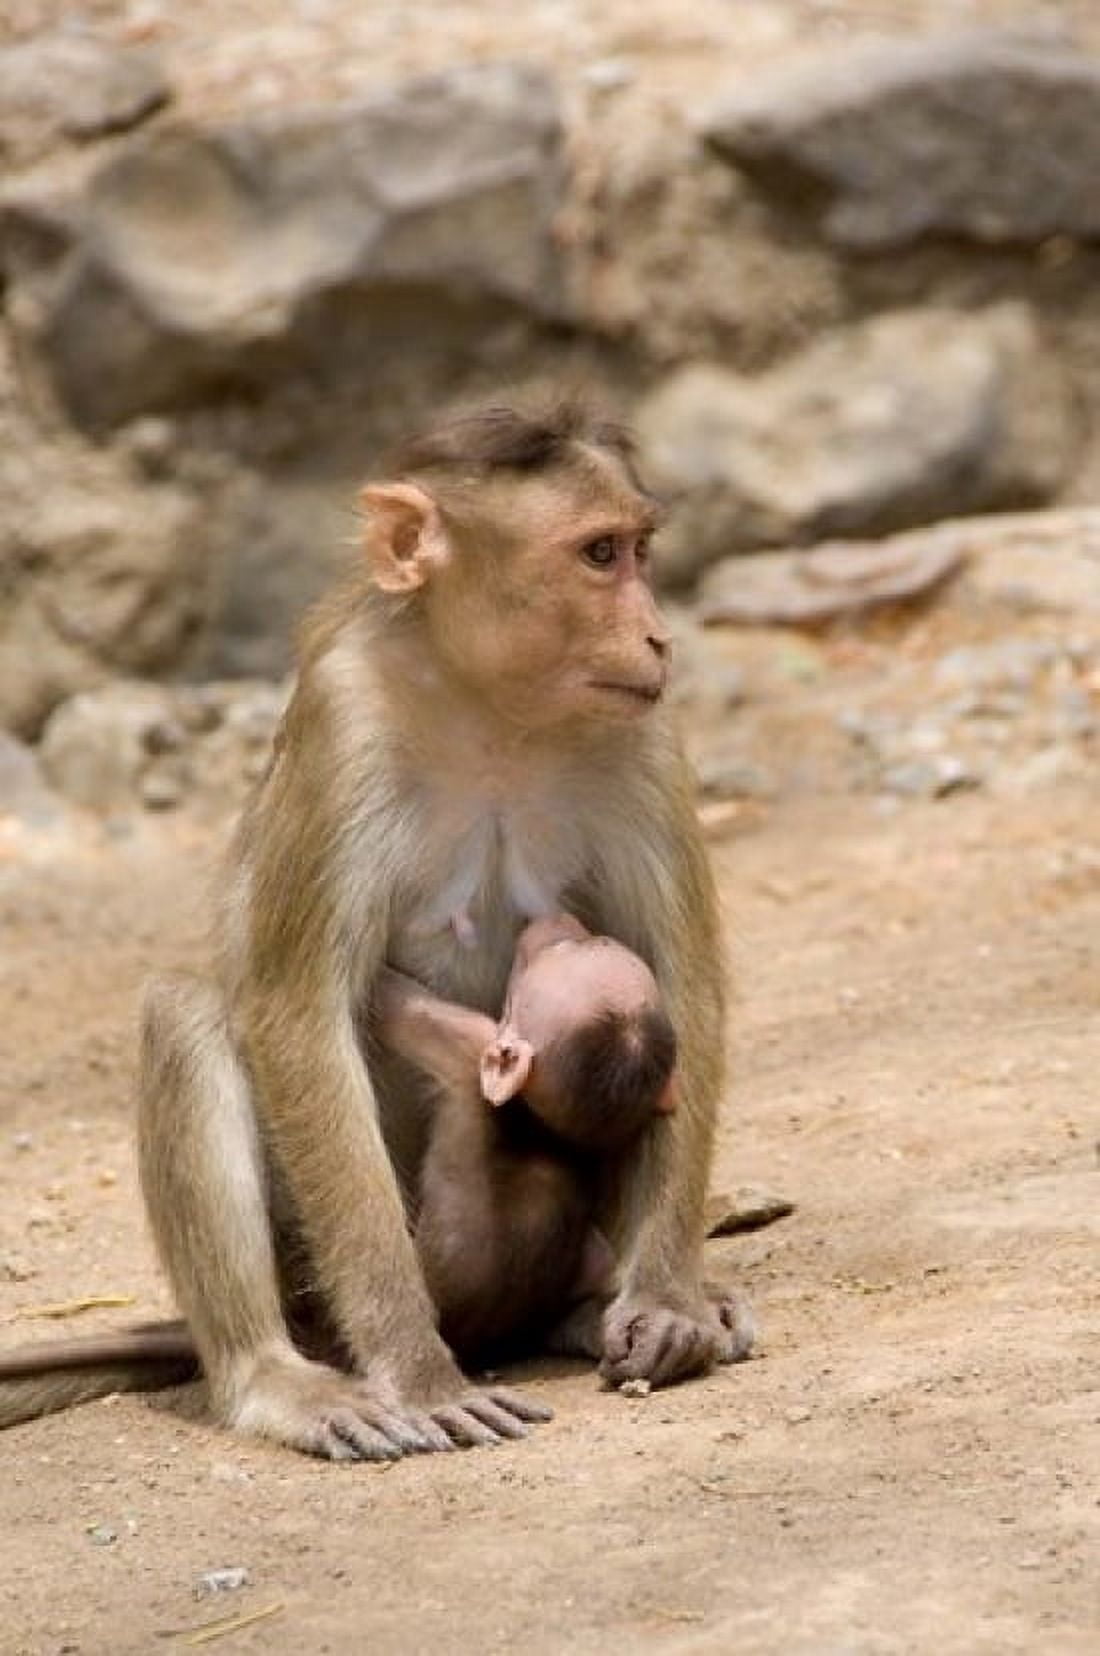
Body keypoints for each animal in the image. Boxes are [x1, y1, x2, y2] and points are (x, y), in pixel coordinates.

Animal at [375, 912, 679, 1363]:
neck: (541, 1129)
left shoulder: (470, 1043)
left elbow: (393, 1004)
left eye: (563, 949)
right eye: (589, 943)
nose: (559, 919)